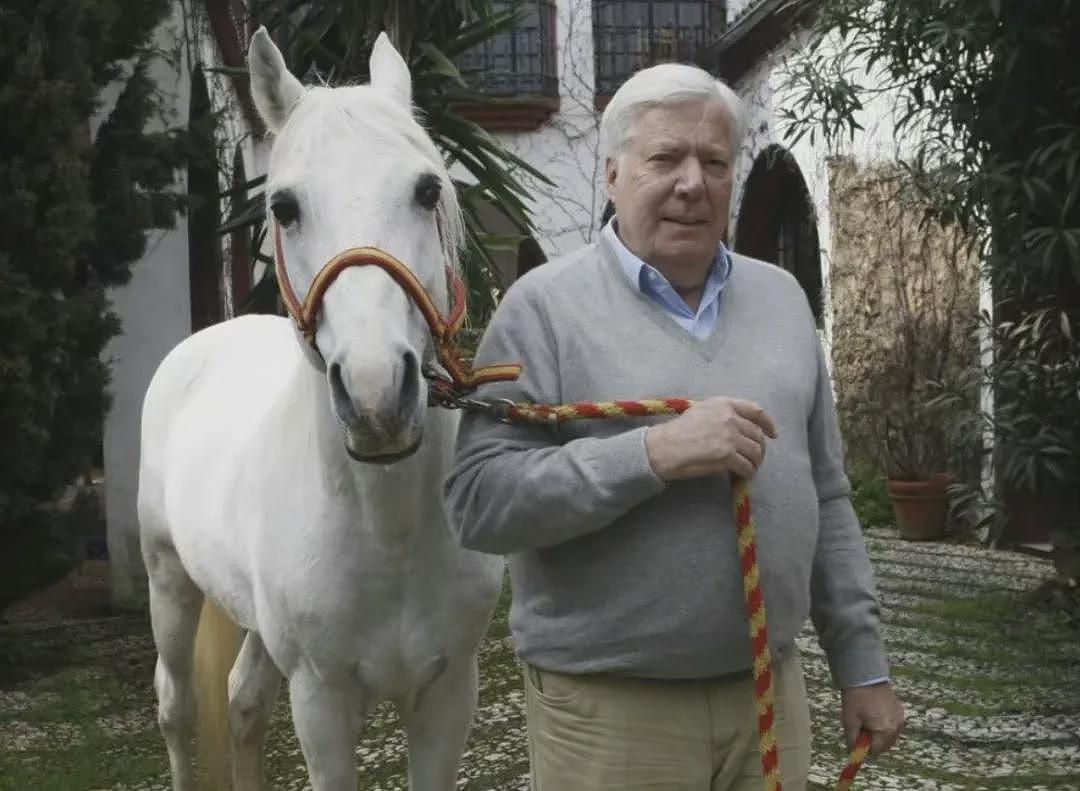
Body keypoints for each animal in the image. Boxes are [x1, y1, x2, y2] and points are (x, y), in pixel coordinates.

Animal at [137, 27, 504, 791]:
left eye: (428, 190)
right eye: (283, 207)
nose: (375, 391)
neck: (387, 532)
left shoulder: (449, 694)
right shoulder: (322, 702)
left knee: (242, 701)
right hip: (168, 582)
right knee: (177, 706)